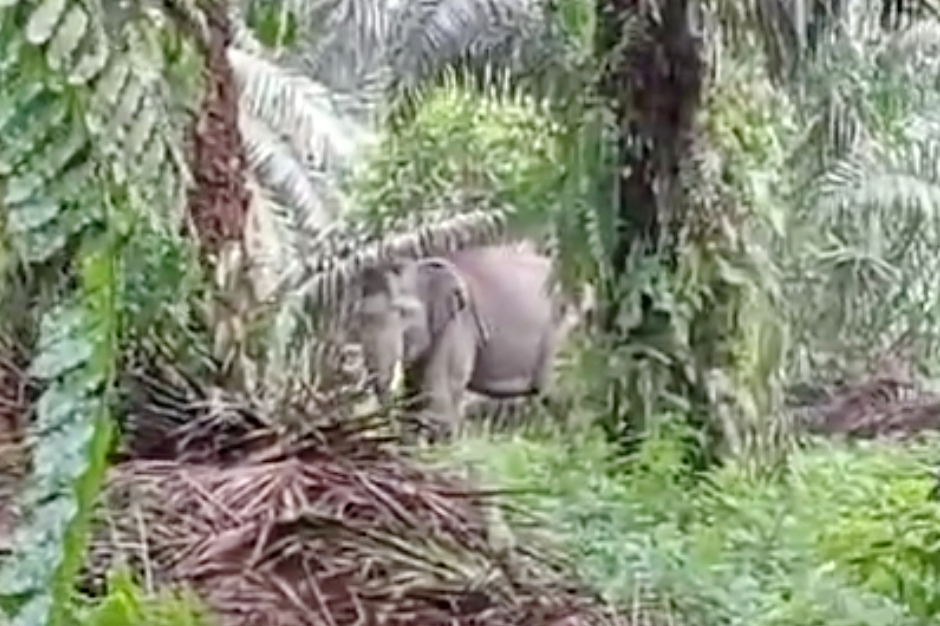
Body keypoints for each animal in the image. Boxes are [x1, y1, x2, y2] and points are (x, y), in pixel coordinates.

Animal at [348, 241, 592, 436]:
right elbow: (415, 389)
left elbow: (439, 393)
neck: (422, 268)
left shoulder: (459, 323)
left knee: (561, 395)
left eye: (402, 312)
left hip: (565, 334)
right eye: (358, 318)